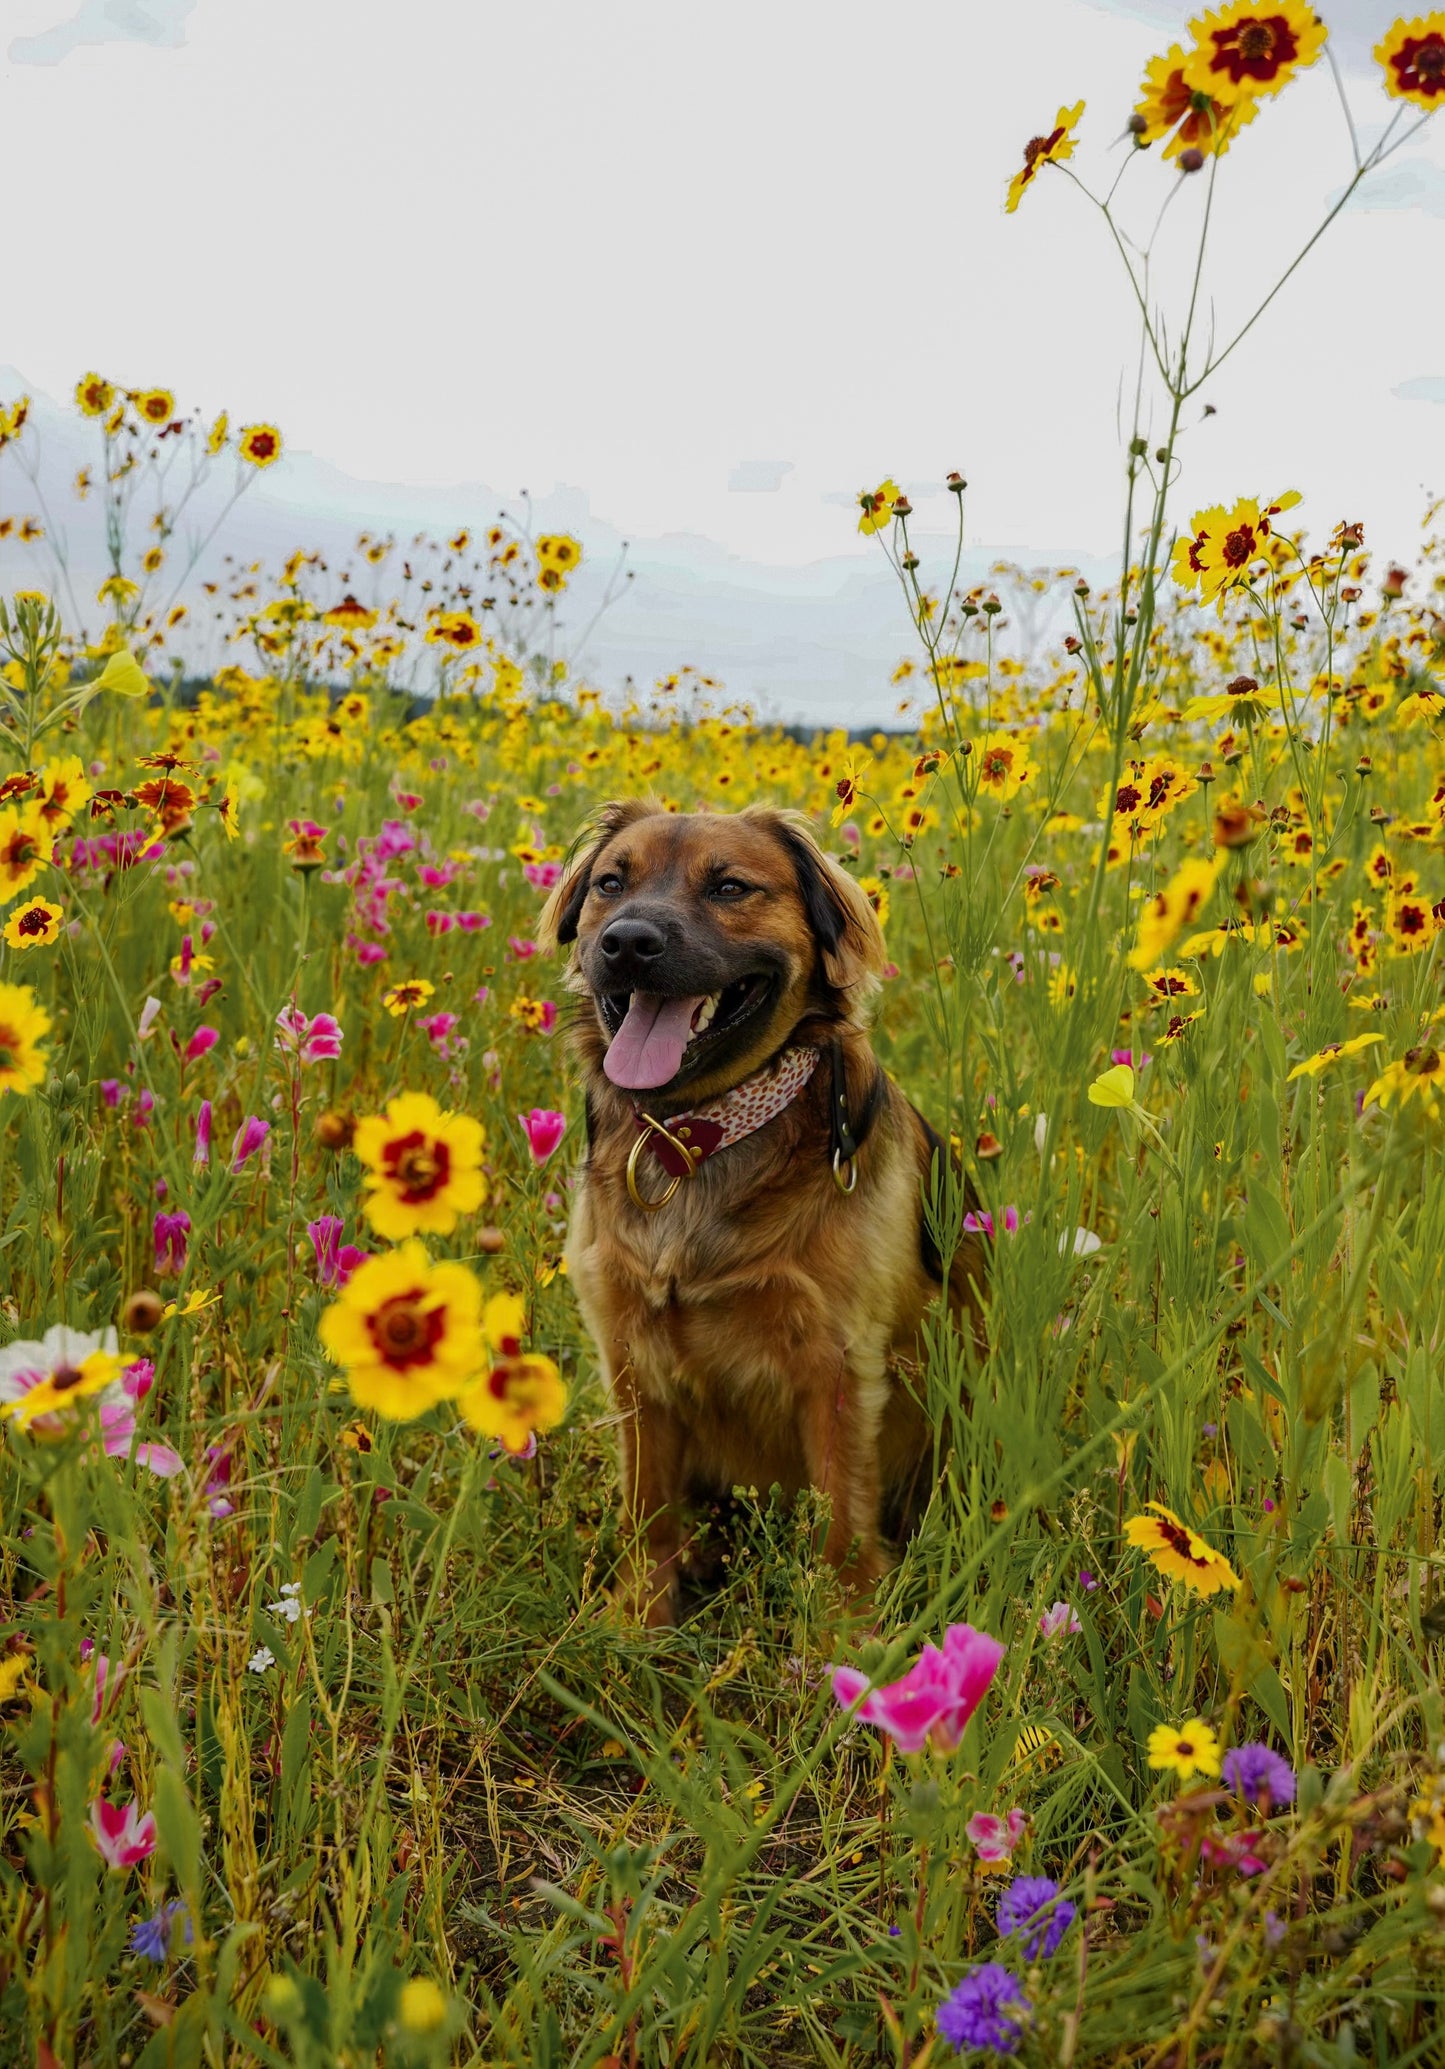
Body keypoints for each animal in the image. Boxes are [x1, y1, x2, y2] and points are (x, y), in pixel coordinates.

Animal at [538, 798, 981, 1622]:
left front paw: (843, 1636)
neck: (696, 1139)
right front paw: (639, 1618)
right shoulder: (629, 1356)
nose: (627, 942)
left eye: (730, 887)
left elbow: (842, 1526)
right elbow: (647, 1508)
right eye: (612, 882)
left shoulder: (837, 1368)